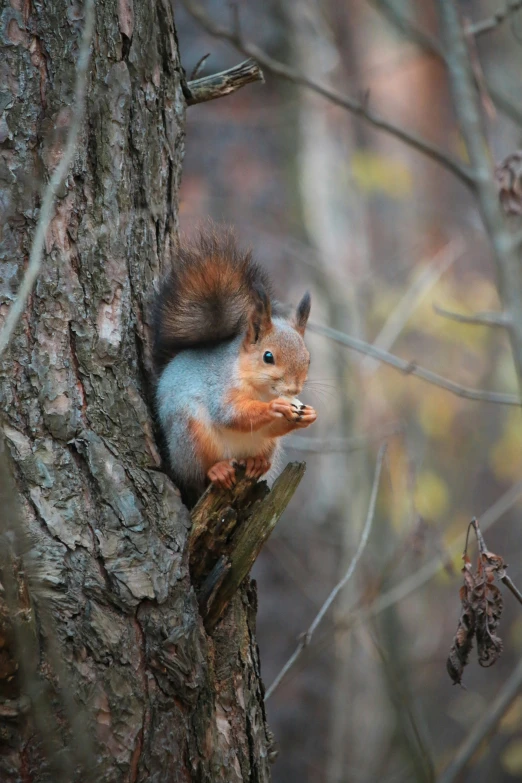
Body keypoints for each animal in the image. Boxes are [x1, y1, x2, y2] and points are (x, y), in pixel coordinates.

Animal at [149, 228, 312, 508]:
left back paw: (256, 463)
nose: (294, 389)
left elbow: (270, 426)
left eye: (308, 358)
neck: (261, 390)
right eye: (268, 356)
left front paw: (309, 415)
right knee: (197, 474)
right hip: (190, 435)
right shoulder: (219, 387)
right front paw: (275, 407)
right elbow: (231, 414)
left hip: (267, 445)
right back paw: (217, 470)